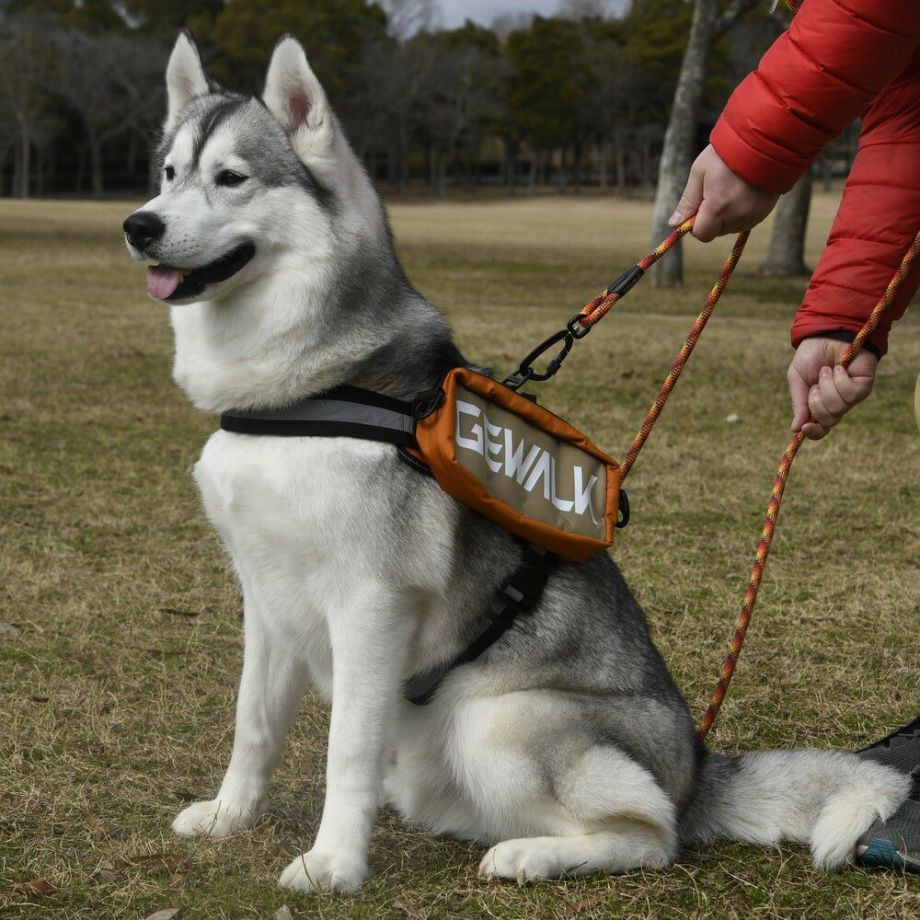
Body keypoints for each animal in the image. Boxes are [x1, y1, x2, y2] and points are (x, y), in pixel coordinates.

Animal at [124, 34, 912, 892]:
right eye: (168, 172)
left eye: (231, 178)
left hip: (498, 719)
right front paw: (230, 816)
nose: (138, 226)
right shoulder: (266, 600)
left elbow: (346, 751)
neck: (300, 396)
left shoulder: (369, 605)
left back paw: (532, 855)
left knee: (652, 835)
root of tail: (699, 769)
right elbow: (254, 726)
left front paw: (334, 863)